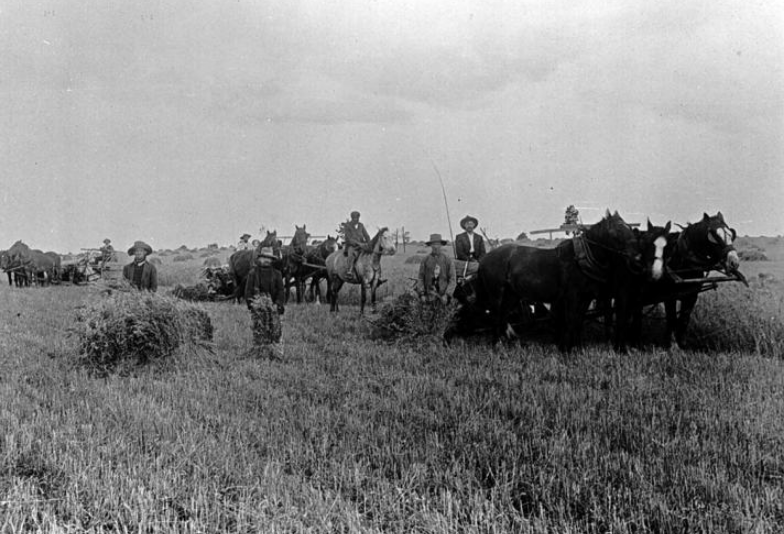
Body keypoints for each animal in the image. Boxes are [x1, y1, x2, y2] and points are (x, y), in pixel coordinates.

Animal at [454, 211, 644, 354]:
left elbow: (579, 321)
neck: (580, 259)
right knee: (496, 316)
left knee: (503, 317)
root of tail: (485, 259)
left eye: (630, 228)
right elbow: (571, 320)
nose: (637, 257)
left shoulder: (585, 298)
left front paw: (578, 348)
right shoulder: (572, 297)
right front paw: (568, 349)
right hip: (497, 294)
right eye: (615, 232)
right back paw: (496, 345)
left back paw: (507, 343)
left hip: (511, 296)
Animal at [632, 214, 740, 352]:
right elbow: (672, 318)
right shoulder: (670, 296)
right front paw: (672, 345)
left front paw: (682, 344)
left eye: (731, 234)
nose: (734, 262)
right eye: (714, 236)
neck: (682, 257)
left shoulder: (692, 295)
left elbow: (684, 319)